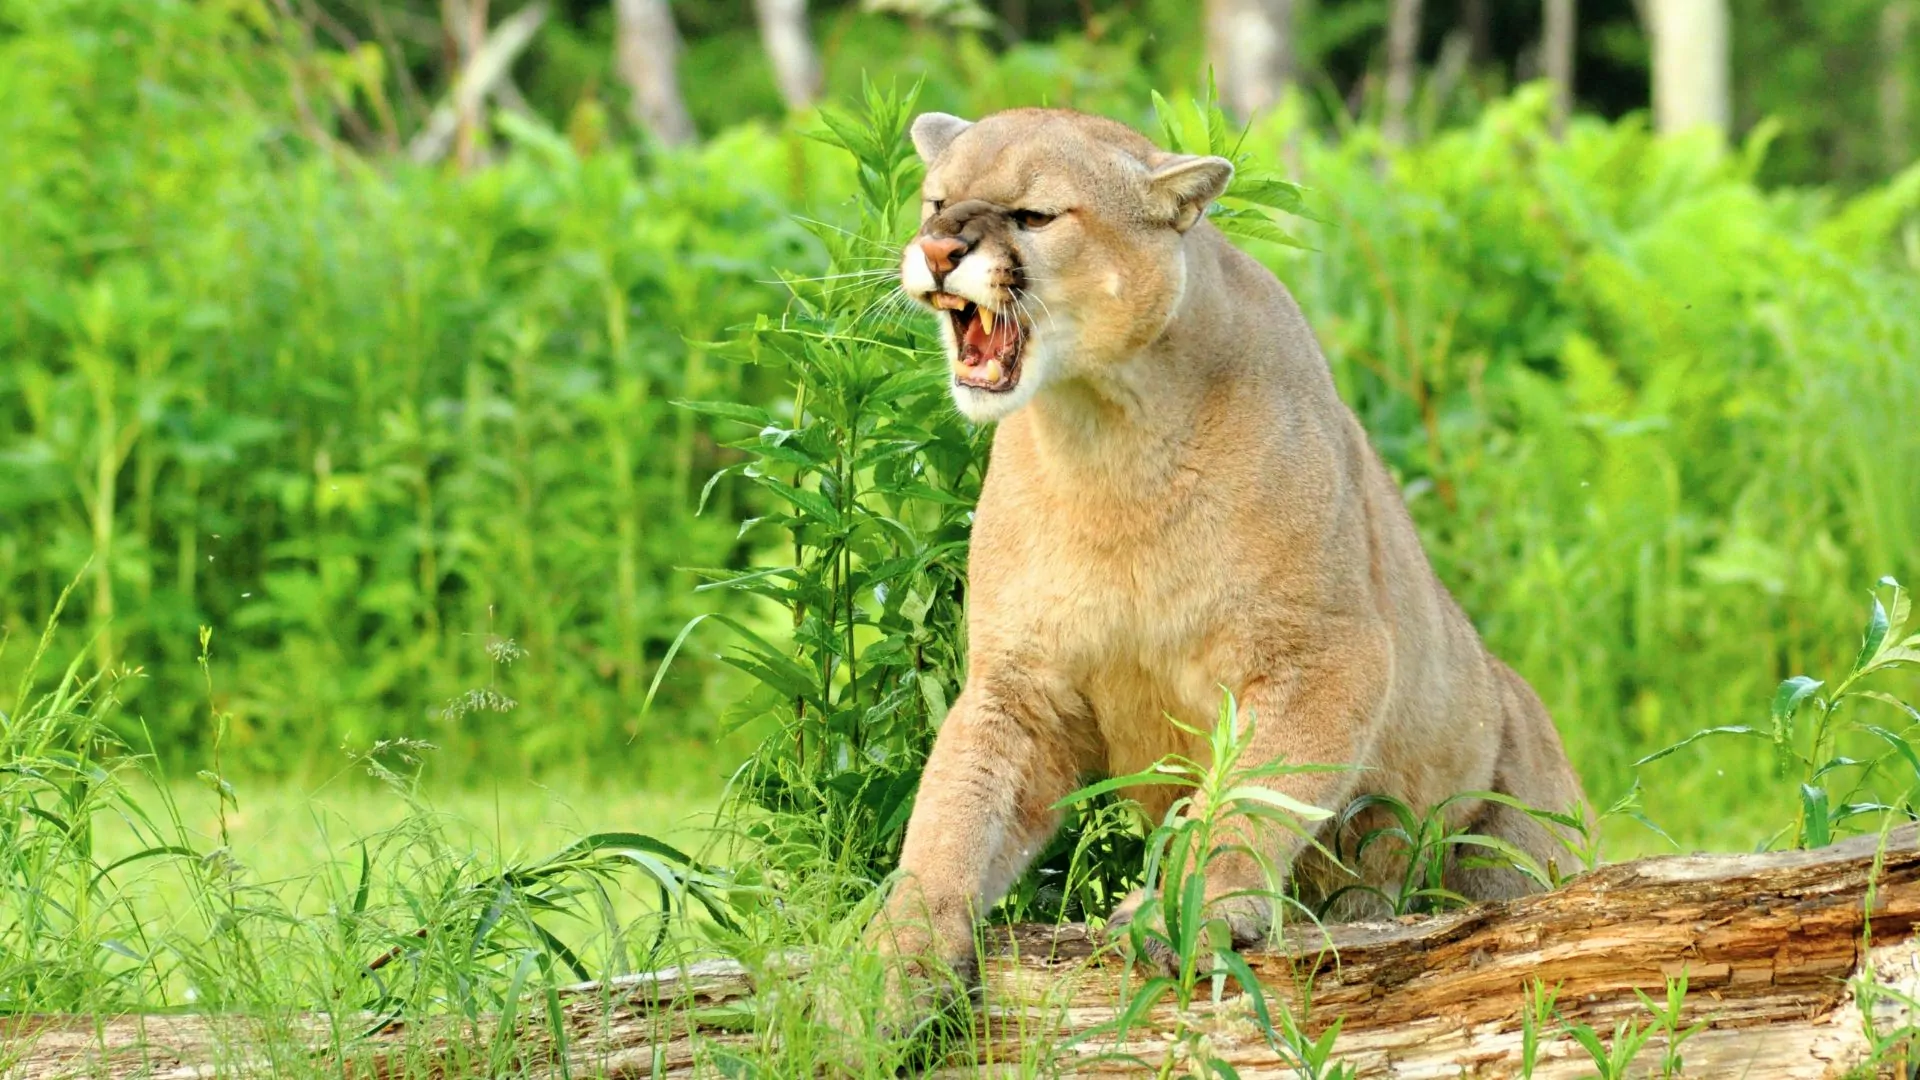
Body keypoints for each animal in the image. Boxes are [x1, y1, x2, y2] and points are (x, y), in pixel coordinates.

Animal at [873, 106, 1587, 994]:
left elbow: (1249, 796)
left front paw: (1193, 912)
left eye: (1035, 216)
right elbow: (950, 820)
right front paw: (884, 966)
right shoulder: (1021, 685)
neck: (1104, 436)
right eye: (936, 202)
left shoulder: (1322, 654)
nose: (939, 250)